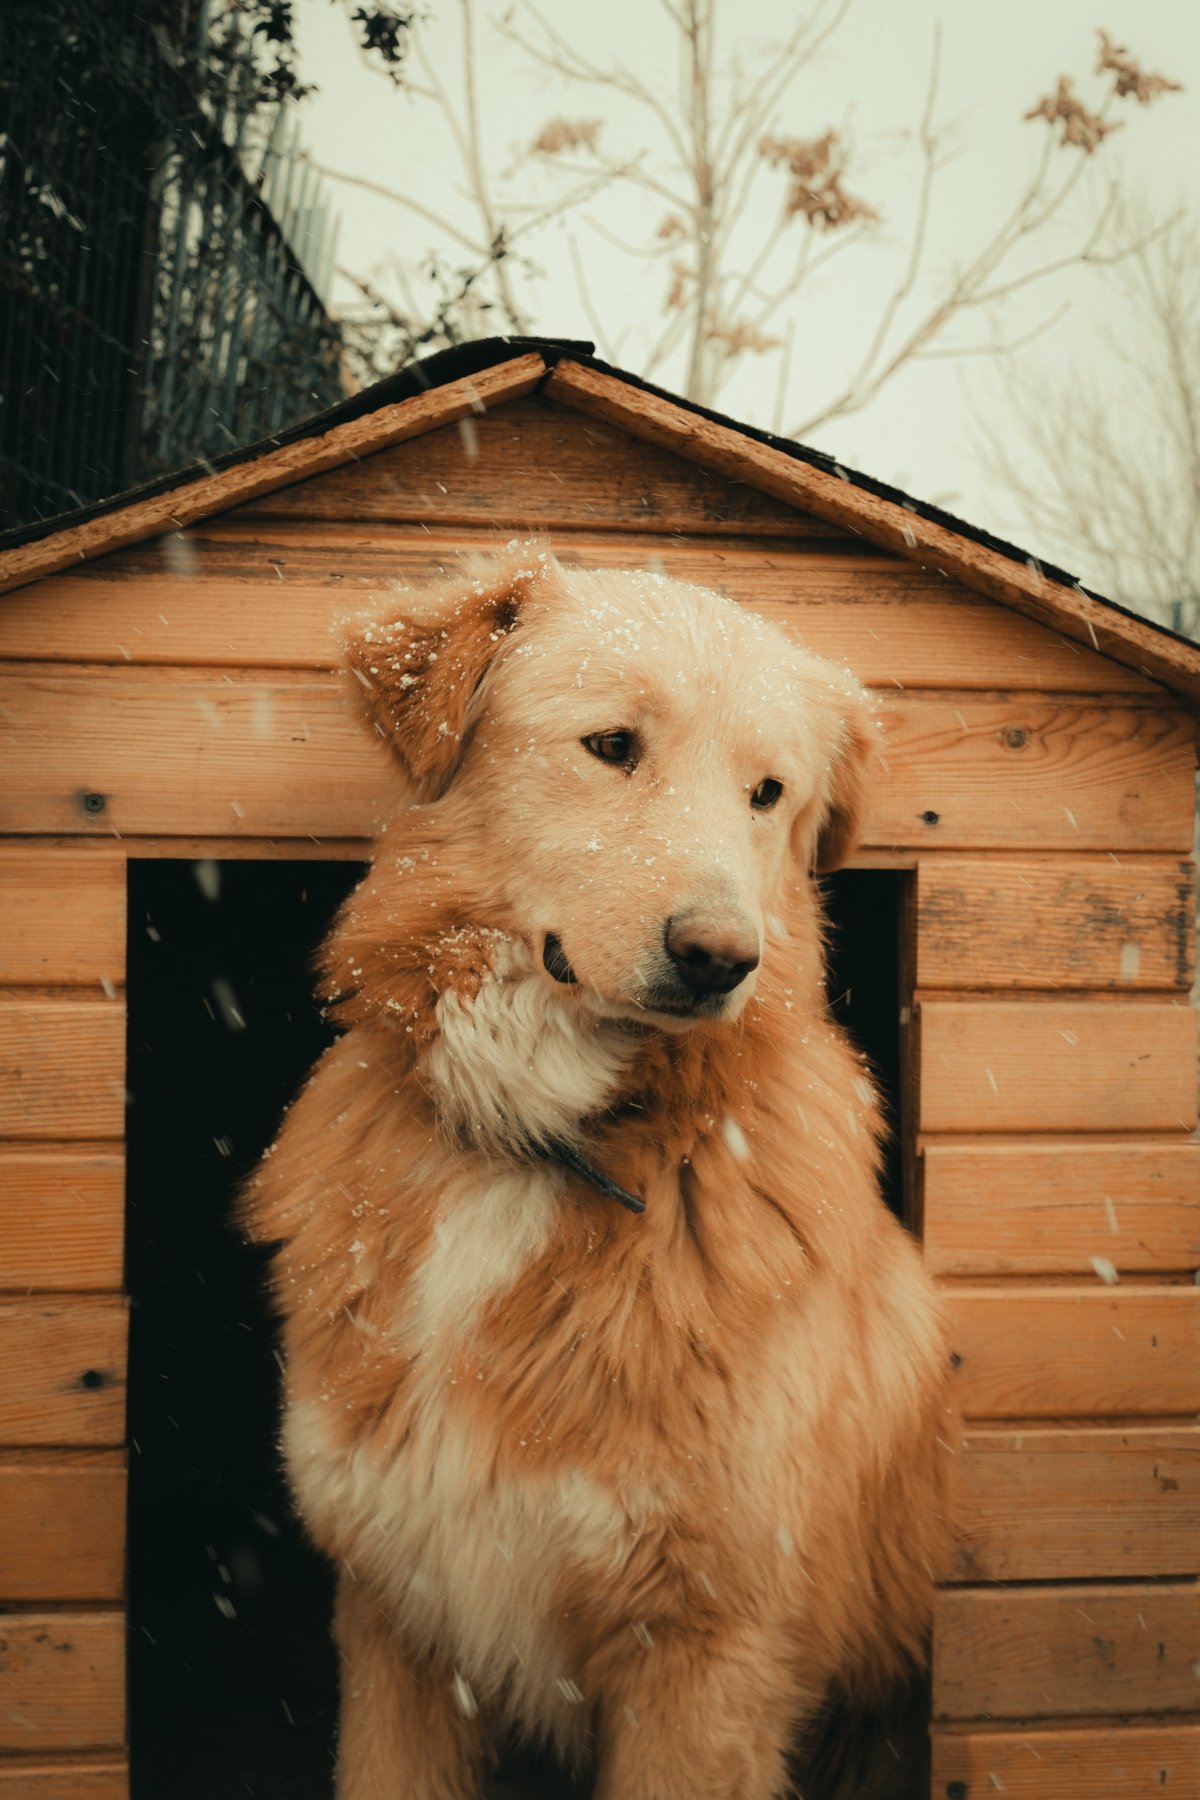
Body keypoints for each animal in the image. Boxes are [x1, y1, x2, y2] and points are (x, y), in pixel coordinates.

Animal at [241, 547, 957, 1800]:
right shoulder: (396, 1622)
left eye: (767, 793)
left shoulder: (708, 1653)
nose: (722, 957)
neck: (541, 1144)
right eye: (613, 745)